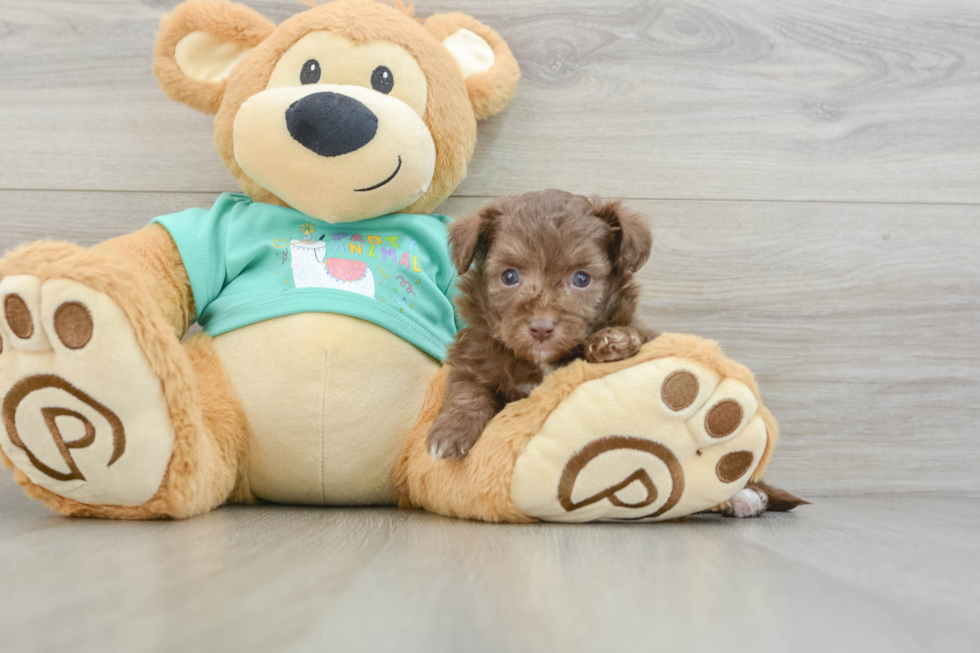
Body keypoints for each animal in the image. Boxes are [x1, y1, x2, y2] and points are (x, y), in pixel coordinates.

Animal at [428, 190, 660, 458]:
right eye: (509, 276)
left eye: (582, 279)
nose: (541, 327)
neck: (540, 361)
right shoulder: (473, 358)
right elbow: (466, 390)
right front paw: (451, 432)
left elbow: (638, 335)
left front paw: (615, 340)